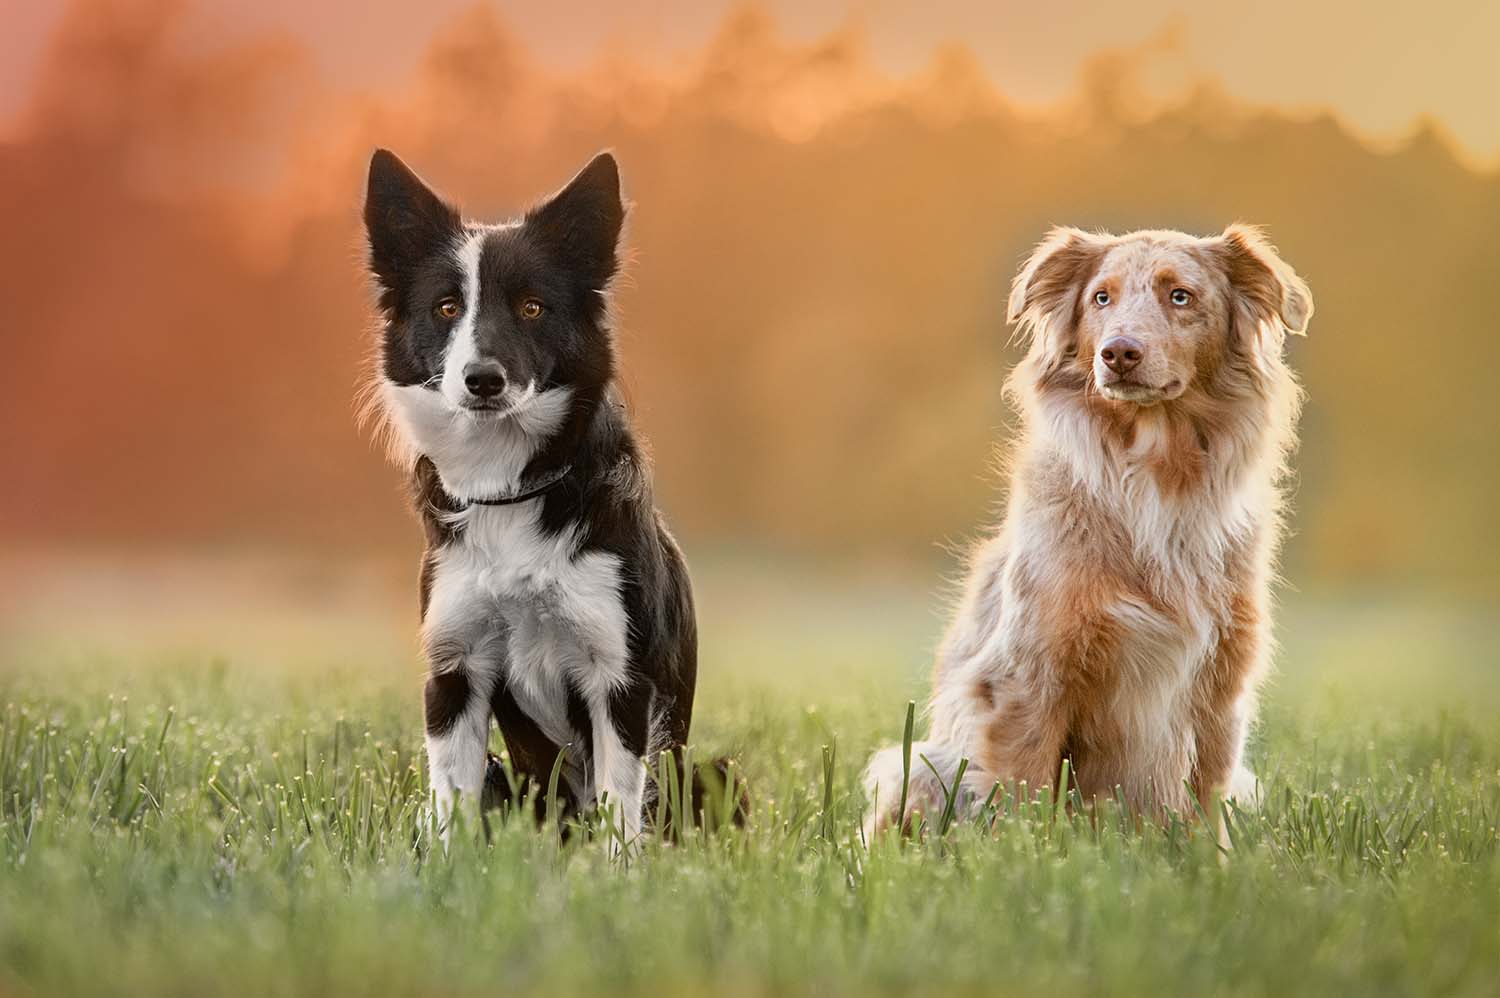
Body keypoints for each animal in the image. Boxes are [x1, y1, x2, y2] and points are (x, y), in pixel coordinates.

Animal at [363, 150, 696, 846]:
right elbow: (451, 805)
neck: (511, 488)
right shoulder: (454, 673)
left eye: (533, 308)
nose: (482, 380)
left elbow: (620, 806)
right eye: (446, 308)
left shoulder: (619, 680)